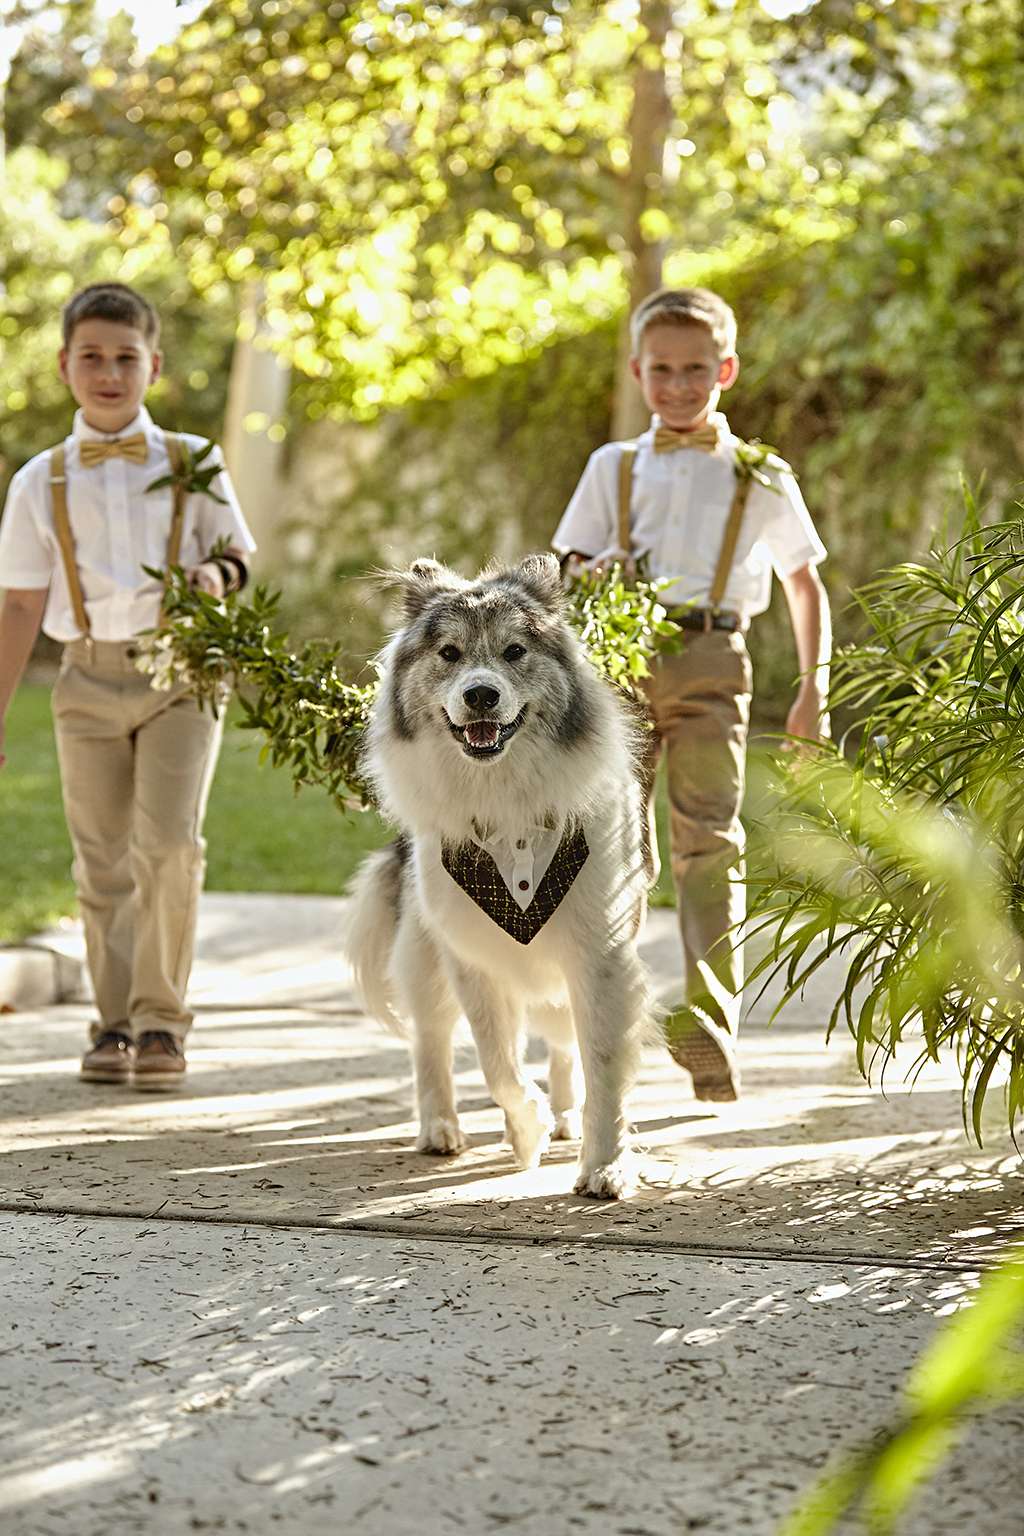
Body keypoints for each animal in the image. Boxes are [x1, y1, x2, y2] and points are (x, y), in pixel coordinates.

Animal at [342, 552, 647, 1198]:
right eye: (449, 653)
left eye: (514, 651)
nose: (481, 695)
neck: (505, 800)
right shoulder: (472, 957)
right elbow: (496, 1062)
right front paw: (527, 1130)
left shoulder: (600, 954)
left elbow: (604, 1063)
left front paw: (605, 1166)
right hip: (423, 953)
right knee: (430, 1041)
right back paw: (440, 1129)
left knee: (562, 1043)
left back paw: (565, 1116)